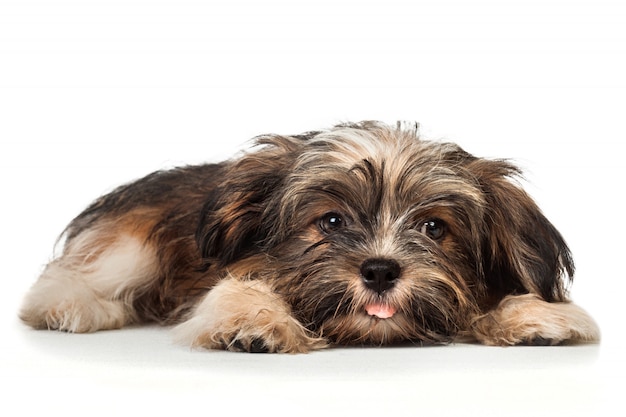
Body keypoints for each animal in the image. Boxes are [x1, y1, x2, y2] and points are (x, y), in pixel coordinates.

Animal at [18, 120, 600, 352]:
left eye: (434, 228)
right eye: (332, 222)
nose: (381, 269)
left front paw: (533, 316)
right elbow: (238, 289)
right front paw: (252, 321)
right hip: (131, 244)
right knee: (69, 279)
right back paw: (69, 307)